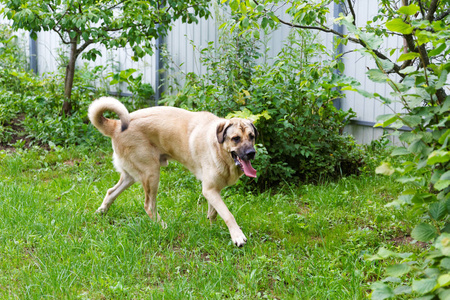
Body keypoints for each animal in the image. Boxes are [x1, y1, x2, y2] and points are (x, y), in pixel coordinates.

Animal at [88, 97, 256, 247]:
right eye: (235, 138)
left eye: (252, 136)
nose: (251, 153)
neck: (219, 148)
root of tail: (116, 125)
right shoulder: (209, 190)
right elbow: (228, 214)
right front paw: (237, 236)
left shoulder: (214, 190)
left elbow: (214, 213)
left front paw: (213, 229)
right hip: (151, 174)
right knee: (148, 205)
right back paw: (162, 226)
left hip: (132, 176)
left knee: (111, 192)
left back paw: (101, 212)